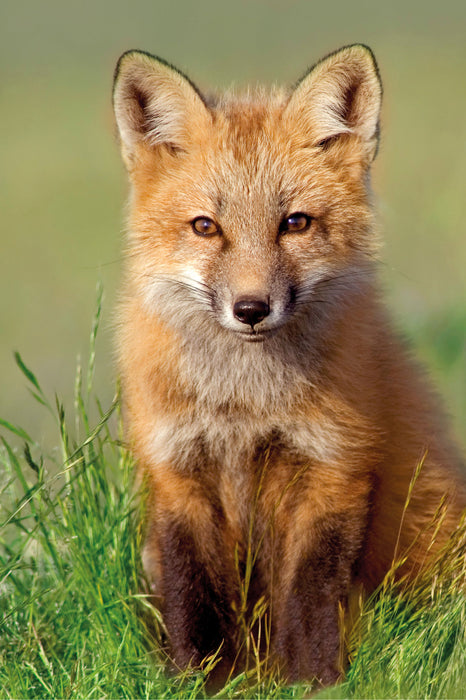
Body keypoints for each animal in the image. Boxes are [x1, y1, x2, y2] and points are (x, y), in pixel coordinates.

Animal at [113, 45, 466, 688]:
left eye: (294, 223)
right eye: (206, 227)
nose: (251, 309)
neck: (245, 406)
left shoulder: (333, 467)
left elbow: (308, 597)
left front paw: (311, 683)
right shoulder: (177, 471)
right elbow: (191, 596)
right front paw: (197, 682)